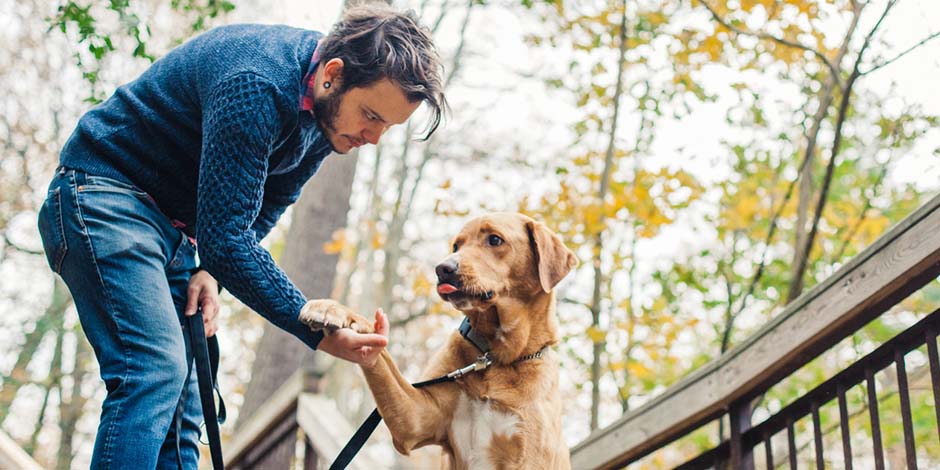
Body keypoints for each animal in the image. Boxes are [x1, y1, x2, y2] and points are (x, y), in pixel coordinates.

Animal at [302, 214, 580, 470]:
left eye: (494, 240)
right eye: (456, 245)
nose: (442, 268)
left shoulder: (528, 457)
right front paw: (332, 310)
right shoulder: (415, 420)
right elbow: (381, 355)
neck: (495, 357)